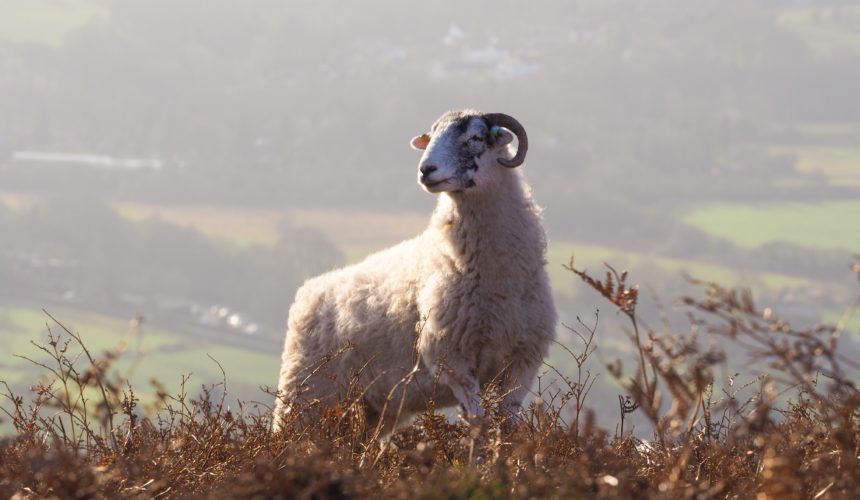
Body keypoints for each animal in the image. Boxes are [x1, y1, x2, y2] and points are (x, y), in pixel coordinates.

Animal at [276, 111, 556, 432]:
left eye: (474, 137)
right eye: (431, 137)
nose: (426, 170)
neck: (497, 282)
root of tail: (308, 291)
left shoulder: (522, 362)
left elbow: (508, 425)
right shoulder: (452, 359)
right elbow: (477, 422)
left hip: (369, 407)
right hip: (309, 392)